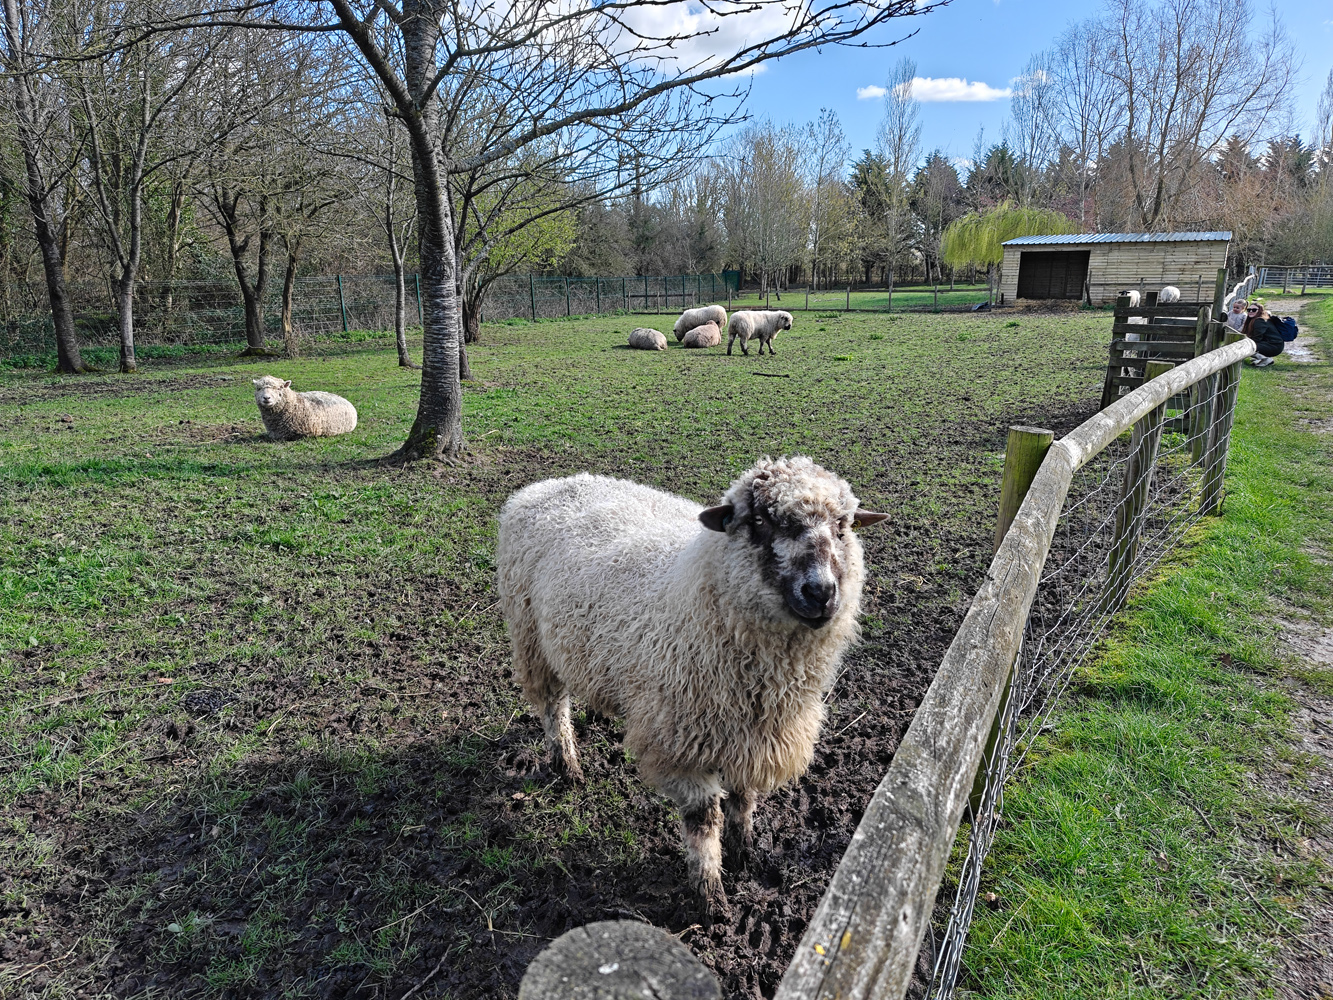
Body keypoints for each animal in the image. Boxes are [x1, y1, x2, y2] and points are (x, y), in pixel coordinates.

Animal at [496, 457, 889, 916]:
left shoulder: (752, 736)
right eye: (760, 520)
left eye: (844, 525)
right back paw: (567, 764)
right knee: (553, 706)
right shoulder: (680, 744)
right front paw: (710, 895)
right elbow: (704, 819)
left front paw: (744, 850)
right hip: (530, 636)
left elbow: (743, 797)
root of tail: (547, 485)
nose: (821, 592)